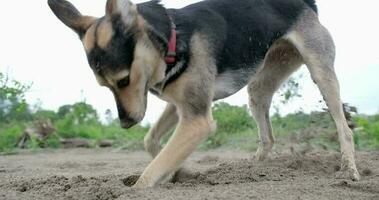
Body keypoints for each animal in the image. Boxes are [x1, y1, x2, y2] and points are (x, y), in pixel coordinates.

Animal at [48, 0, 362, 188]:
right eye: (104, 86)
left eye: (123, 80)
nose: (125, 123)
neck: (173, 38)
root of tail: (304, 4)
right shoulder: (179, 106)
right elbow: (153, 143)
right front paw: (178, 172)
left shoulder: (197, 120)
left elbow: (149, 173)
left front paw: (147, 182)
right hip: (259, 87)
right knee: (268, 137)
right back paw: (251, 172)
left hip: (322, 74)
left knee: (344, 128)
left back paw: (349, 170)